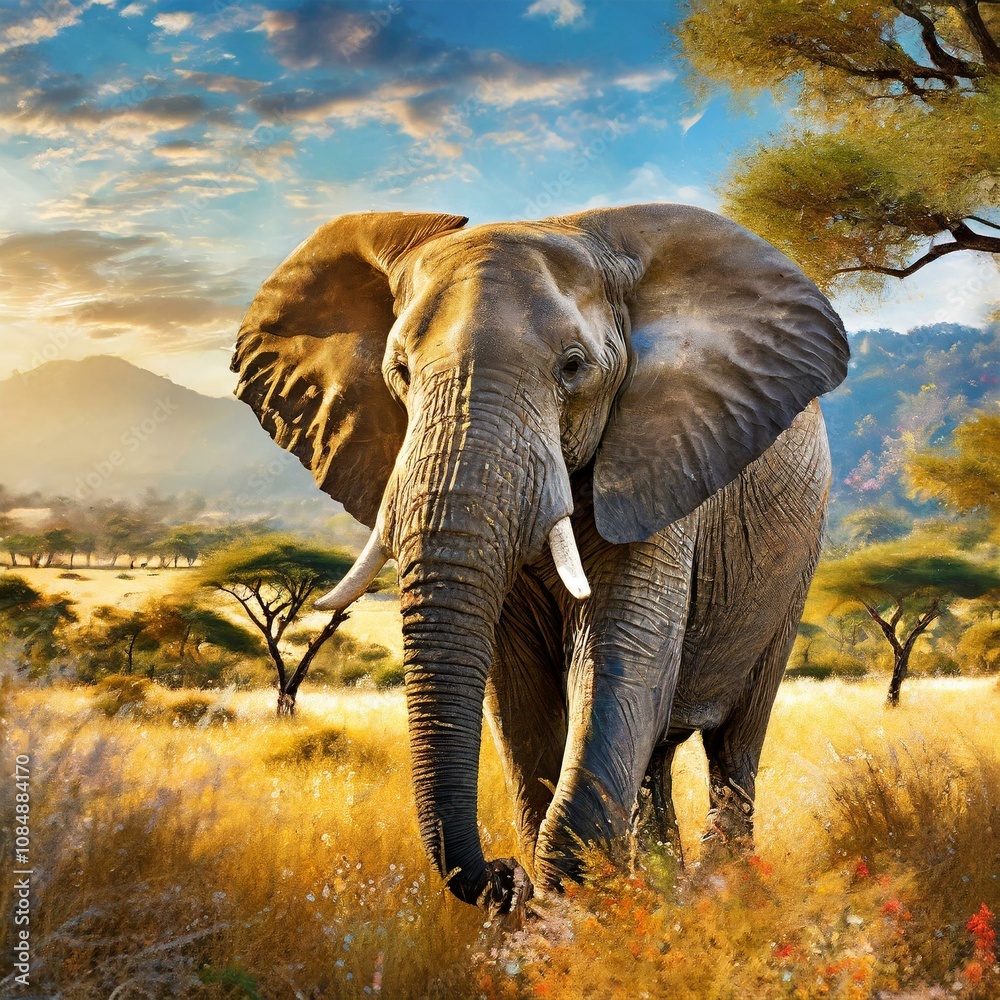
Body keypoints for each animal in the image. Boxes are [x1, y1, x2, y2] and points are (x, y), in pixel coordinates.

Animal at [231, 203, 849, 912]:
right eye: (400, 372)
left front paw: (571, 907)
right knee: (655, 756)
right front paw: (547, 908)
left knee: (735, 743)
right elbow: (518, 688)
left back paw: (725, 895)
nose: (501, 877)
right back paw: (664, 892)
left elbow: (618, 655)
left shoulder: (663, 462)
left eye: (573, 368)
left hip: (797, 558)